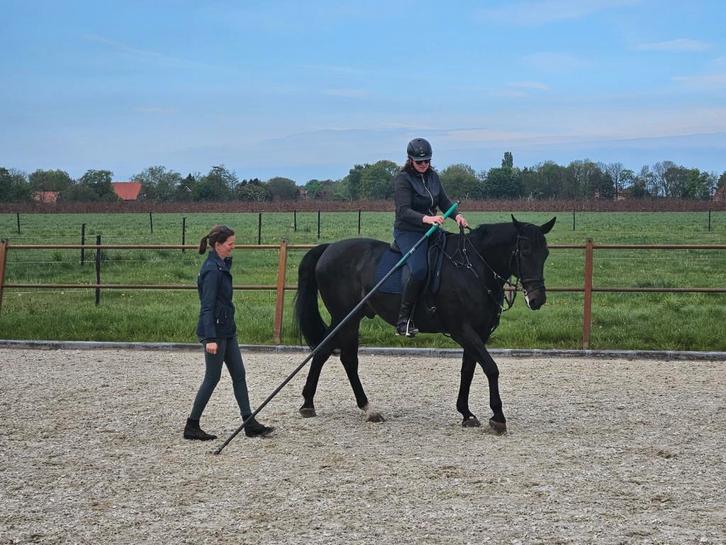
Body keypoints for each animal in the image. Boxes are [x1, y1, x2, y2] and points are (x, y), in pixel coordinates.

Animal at [293, 216, 556, 433]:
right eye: (524, 252)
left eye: (545, 254)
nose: (537, 299)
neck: (473, 268)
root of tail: (329, 248)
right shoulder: (462, 329)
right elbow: (491, 368)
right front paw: (498, 417)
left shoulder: (478, 333)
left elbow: (468, 370)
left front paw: (466, 413)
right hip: (344, 317)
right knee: (334, 355)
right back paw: (322, 404)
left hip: (350, 318)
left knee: (336, 355)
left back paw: (347, 406)